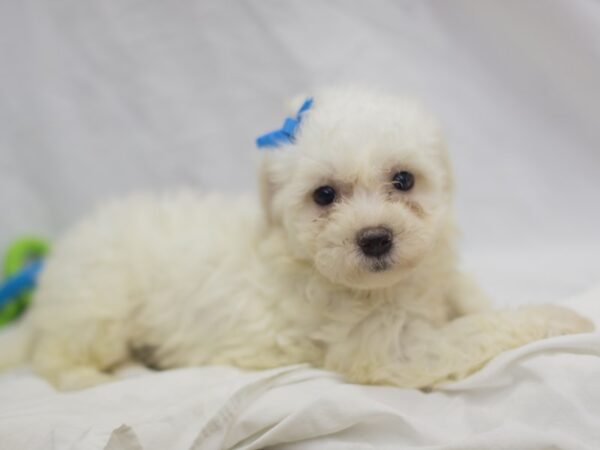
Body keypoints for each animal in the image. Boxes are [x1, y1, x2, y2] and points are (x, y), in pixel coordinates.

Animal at [0, 86, 592, 388]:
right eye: (324, 195)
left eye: (404, 180)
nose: (375, 239)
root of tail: (51, 275)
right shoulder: (391, 349)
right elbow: (478, 329)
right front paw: (564, 318)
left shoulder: (434, 273)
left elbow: (468, 299)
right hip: (98, 307)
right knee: (56, 358)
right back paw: (106, 376)